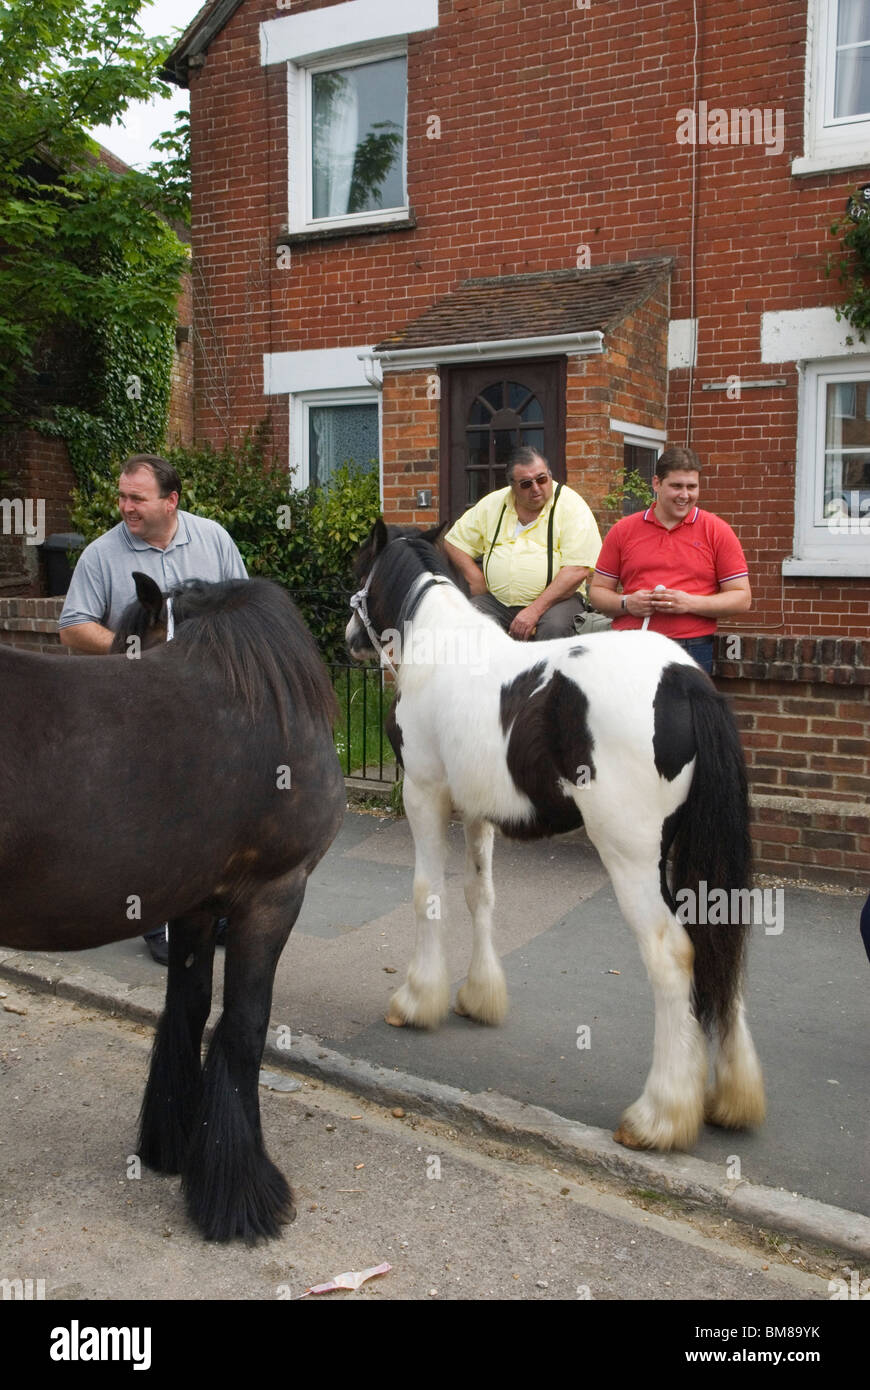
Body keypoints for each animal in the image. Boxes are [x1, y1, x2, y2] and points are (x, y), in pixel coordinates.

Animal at [0, 572, 345, 1240]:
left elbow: (187, 1010)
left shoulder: (194, 901)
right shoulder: (275, 893)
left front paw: (176, 1148)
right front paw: (244, 1198)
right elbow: (243, 1028)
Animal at [346, 520, 765, 1153]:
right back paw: (731, 1099)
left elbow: (427, 894)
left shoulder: (425, 795)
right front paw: (478, 997)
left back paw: (659, 1116)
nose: (349, 637)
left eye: (360, 570)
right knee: (716, 936)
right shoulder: (477, 813)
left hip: (632, 856)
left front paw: (418, 1001)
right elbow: (478, 895)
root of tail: (685, 682)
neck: (440, 648)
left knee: (673, 954)